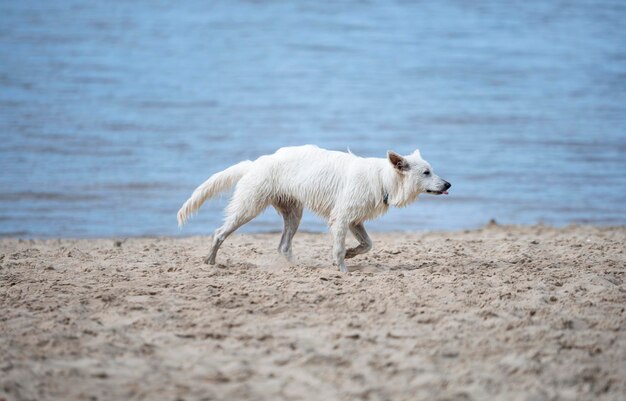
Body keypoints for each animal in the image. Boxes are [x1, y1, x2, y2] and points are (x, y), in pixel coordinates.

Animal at [176, 145, 448, 272]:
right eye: (426, 172)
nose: (448, 184)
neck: (383, 178)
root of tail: (255, 163)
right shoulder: (342, 218)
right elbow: (339, 248)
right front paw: (343, 268)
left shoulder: (354, 220)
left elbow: (368, 244)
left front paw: (352, 253)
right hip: (249, 207)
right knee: (219, 233)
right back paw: (210, 260)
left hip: (293, 214)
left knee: (283, 245)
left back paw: (296, 267)